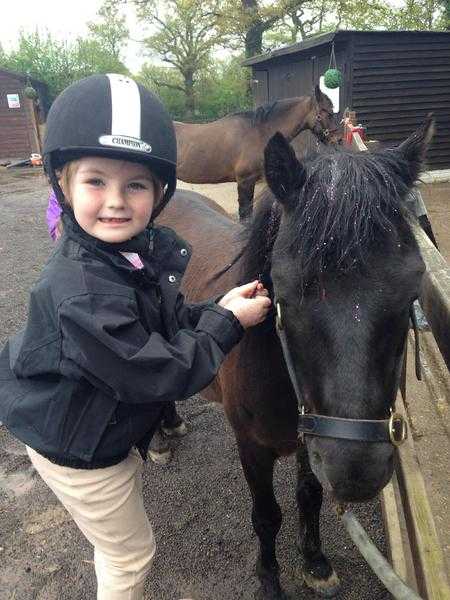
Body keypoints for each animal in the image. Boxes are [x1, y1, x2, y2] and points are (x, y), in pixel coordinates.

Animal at [157, 115, 432, 596]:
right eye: (282, 290)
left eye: (412, 285)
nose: (356, 473)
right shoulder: (252, 447)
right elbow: (267, 517)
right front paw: (269, 579)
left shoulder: (313, 436)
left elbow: (310, 496)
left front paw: (316, 563)